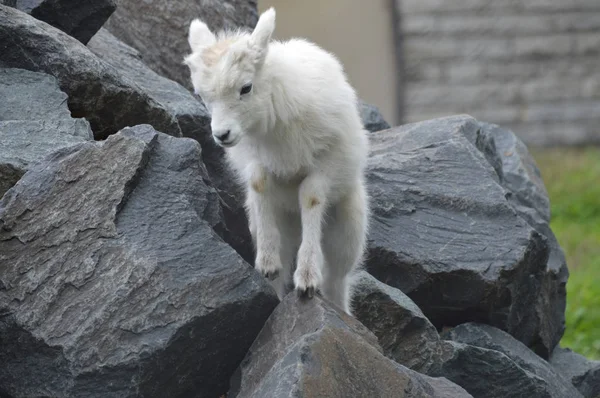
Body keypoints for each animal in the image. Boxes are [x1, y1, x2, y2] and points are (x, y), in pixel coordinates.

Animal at [184, 6, 370, 314]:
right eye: (201, 95)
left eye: (246, 88)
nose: (222, 135)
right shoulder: (253, 159)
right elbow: (259, 183)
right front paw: (268, 261)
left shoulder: (326, 164)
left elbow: (311, 197)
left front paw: (307, 278)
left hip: (348, 228)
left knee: (337, 277)